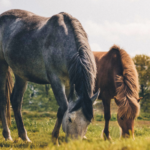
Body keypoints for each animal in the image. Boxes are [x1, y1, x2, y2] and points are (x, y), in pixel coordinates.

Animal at [0, 9, 99, 143]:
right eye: (70, 119)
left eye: (88, 122)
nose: (74, 143)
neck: (63, 42)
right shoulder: (55, 80)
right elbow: (63, 107)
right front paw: (54, 138)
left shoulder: (69, 83)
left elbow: (62, 108)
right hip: (2, 65)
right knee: (3, 100)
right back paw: (7, 135)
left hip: (21, 73)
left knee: (16, 101)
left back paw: (24, 136)